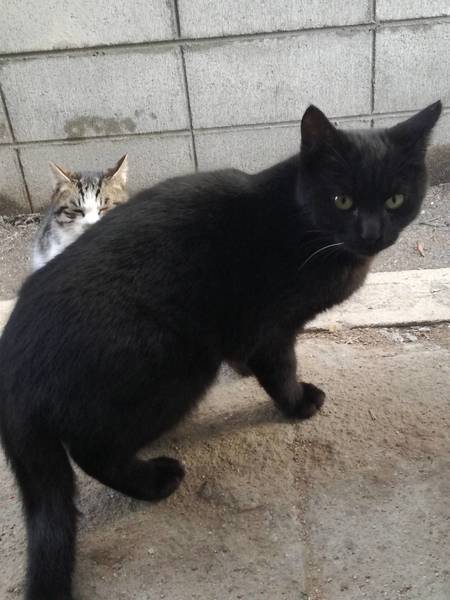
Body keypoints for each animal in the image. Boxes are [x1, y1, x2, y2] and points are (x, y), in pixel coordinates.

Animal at [0, 101, 441, 600]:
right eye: (341, 200)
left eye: (395, 200)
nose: (372, 233)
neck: (303, 227)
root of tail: (12, 372)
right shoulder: (272, 327)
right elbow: (281, 370)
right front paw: (298, 404)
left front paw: (247, 370)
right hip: (178, 368)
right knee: (93, 451)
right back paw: (155, 480)